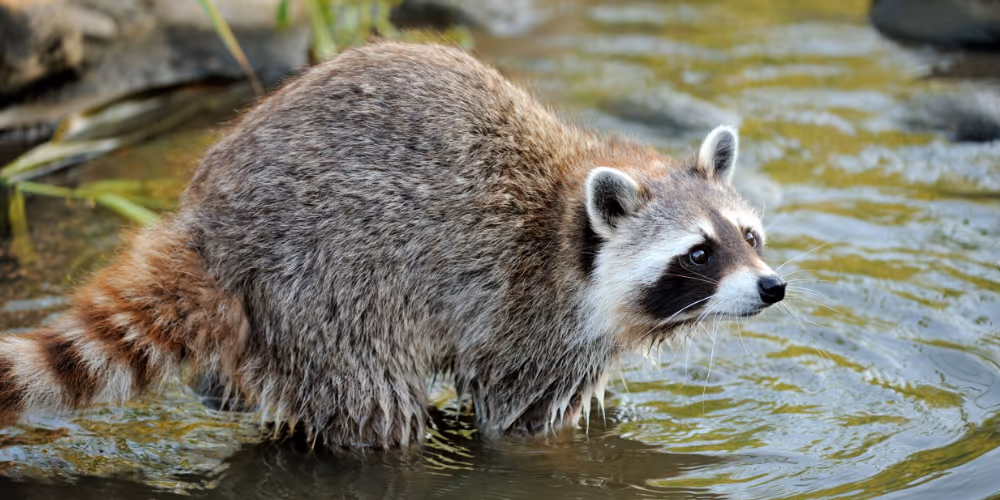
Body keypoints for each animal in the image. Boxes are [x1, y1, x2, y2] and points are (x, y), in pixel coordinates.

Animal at [0, 42, 785, 448]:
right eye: (699, 254)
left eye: (748, 237)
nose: (773, 287)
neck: (569, 230)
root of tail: (212, 228)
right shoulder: (526, 316)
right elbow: (514, 419)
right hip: (324, 288)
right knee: (376, 408)